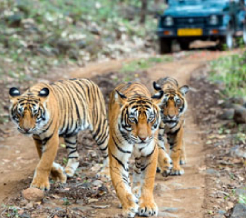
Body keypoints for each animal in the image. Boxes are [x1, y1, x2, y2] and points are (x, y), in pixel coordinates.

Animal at [107, 82, 163, 218]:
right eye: (133, 119)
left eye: (150, 118)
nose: (143, 138)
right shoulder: (118, 158)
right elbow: (120, 184)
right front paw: (129, 207)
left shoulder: (150, 154)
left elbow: (148, 181)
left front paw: (147, 206)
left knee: (138, 171)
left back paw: (137, 191)